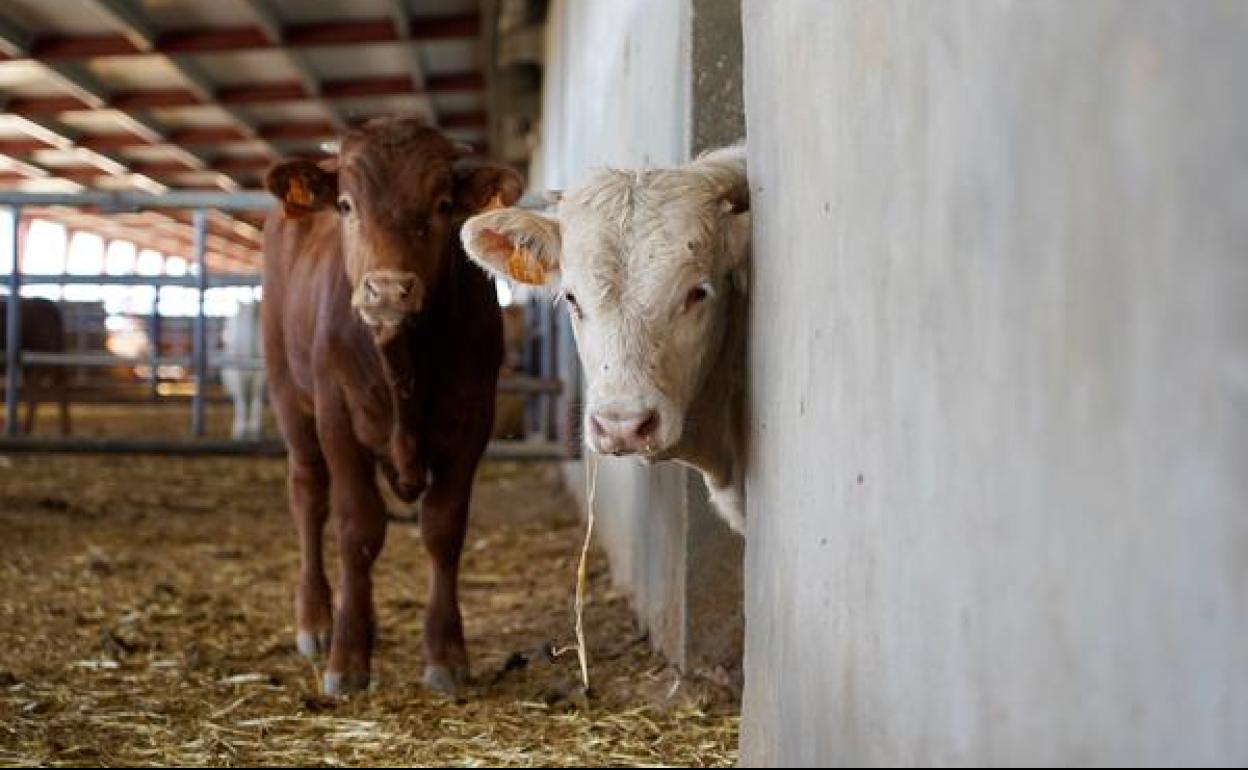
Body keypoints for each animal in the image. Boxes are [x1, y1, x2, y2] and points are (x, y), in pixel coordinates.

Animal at [222, 298, 265, 439]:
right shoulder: (237, 376)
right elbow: (241, 401)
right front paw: (240, 429)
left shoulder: (260, 375)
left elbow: (255, 397)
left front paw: (254, 428)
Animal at [263, 115, 521, 698]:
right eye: (346, 205)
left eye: (444, 204)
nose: (386, 290)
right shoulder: (336, 414)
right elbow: (358, 528)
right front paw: (347, 658)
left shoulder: (473, 418)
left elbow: (443, 528)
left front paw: (446, 653)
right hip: (289, 393)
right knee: (308, 497)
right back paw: (317, 619)